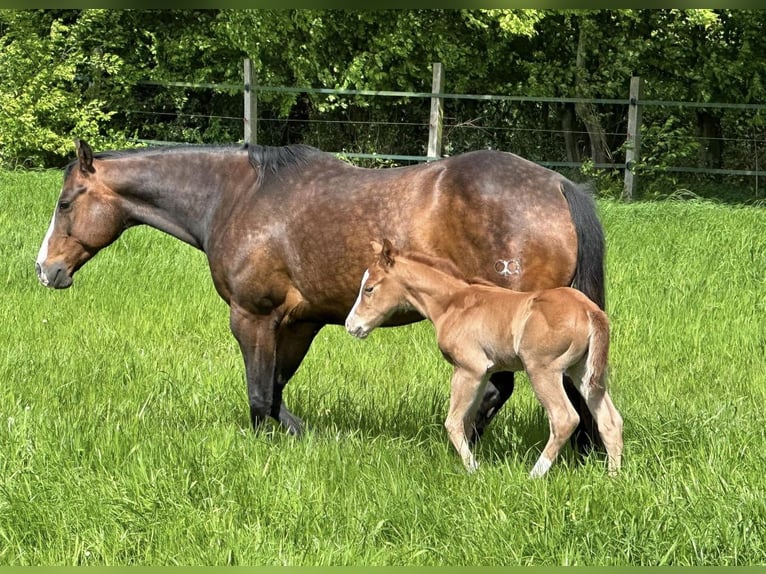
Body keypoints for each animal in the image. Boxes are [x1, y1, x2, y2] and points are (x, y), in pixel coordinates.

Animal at [348, 241, 624, 480]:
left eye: (369, 288)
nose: (352, 326)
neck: (452, 304)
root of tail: (590, 310)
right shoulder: (484, 372)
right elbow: (468, 420)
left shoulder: (468, 369)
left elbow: (453, 421)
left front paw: (474, 469)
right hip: (584, 372)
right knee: (610, 420)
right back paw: (613, 477)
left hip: (543, 370)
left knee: (564, 418)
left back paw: (534, 475)